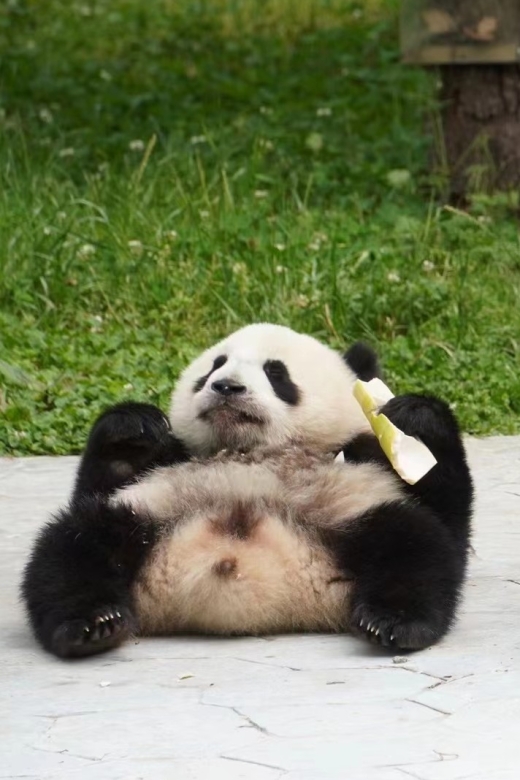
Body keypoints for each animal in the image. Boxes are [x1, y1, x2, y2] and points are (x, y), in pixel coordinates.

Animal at [21, 324, 473, 658]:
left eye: (277, 373)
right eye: (214, 367)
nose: (226, 387)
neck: (249, 449)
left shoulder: (363, 461)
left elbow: (442, 515)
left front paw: (417, 418)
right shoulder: (163, 464)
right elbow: (99, 484)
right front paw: (131, 427)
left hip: (347, 517)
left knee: (412, 542)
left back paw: (394, 622)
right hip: (148, 517)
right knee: (76, 542)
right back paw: (91, 624)